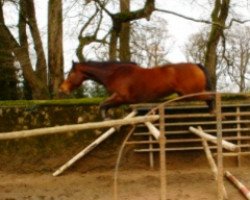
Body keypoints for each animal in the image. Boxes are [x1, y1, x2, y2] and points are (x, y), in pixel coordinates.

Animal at [59, 60, 214, 118]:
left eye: (70, 74)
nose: (63, 89)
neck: (113, 74)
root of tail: (196, 65)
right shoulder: (118, 98)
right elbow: (104, 105)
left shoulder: (121, 98)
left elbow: (103, 105)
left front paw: (106, 118)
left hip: (192, 93)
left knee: (211, 97)